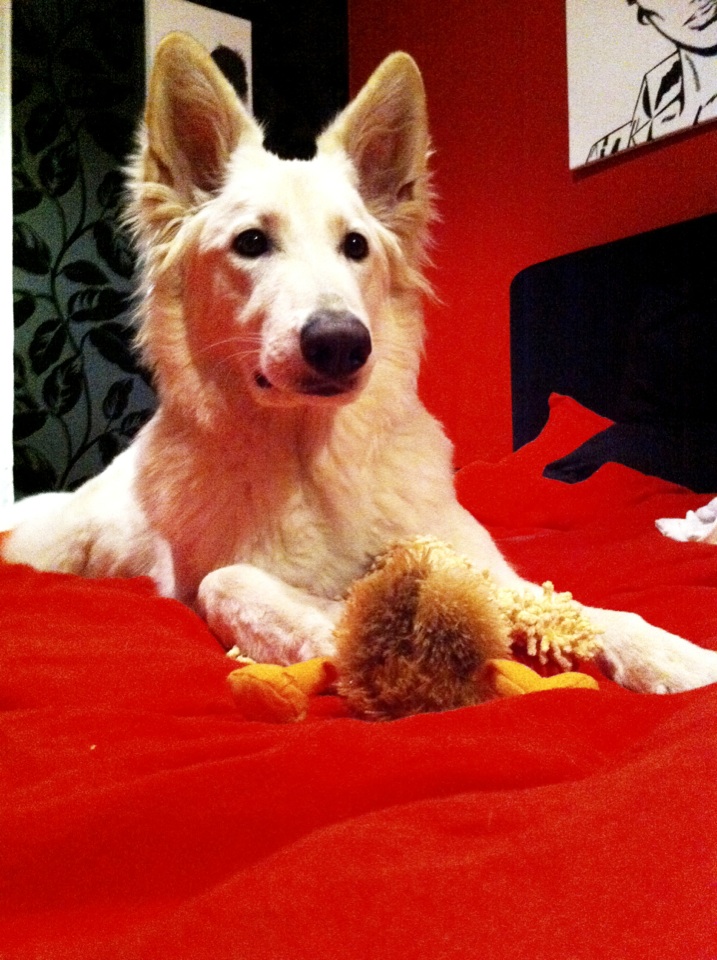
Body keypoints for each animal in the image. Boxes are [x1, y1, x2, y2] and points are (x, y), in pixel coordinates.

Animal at [4, 32, 717, 696]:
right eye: (251, 242)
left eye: (356, 246)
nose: (342, 343)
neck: (316, 459)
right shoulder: (198, 575)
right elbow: (228, 582)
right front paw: (342, 632)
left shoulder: (478, 559)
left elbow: (575, 605)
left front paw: (673, 656)